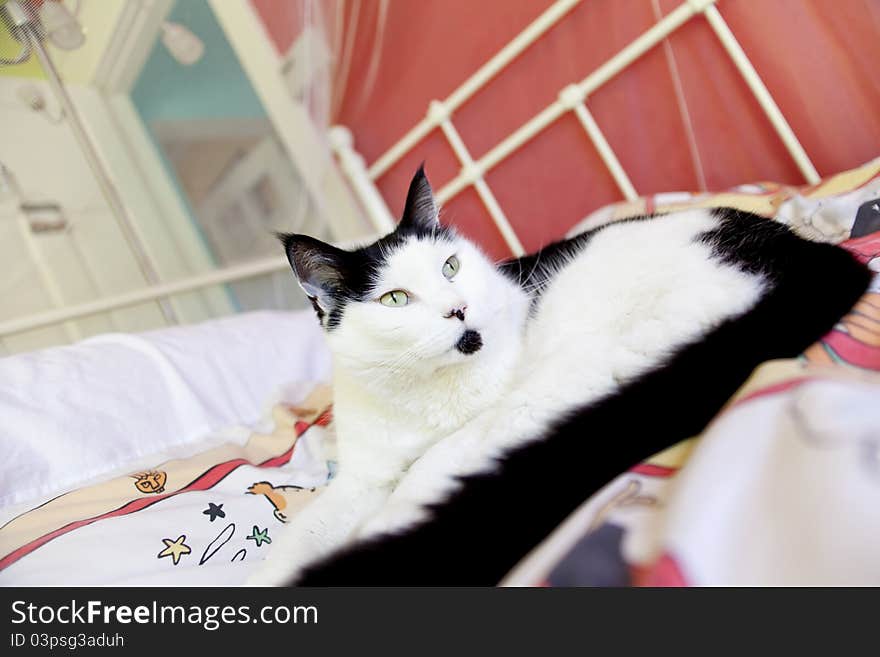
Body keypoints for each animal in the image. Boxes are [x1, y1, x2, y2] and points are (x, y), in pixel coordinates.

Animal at [249, 165, 872, 584]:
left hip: (574, 370)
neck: (424, 392)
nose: (459, 309)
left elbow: (418, 476)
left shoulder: (465, 434)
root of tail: (809, 255)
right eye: (396, 298)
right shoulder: (361, 478)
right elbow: (300, 535)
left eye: (450, 266)